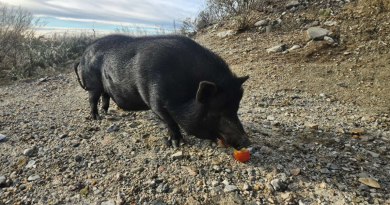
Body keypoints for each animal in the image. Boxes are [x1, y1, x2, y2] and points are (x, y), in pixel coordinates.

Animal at [75, 34, 251, 148]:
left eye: (236, 109)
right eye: (216, 113)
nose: (246, 142)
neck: (185, 91)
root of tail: (83, 53)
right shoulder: (155, 101)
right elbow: (170, 122)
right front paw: (176, 144)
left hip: (104, 87)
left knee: (105, 97)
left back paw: (106, 113)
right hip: (92, 84)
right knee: (92, 99)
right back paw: (97, 118)